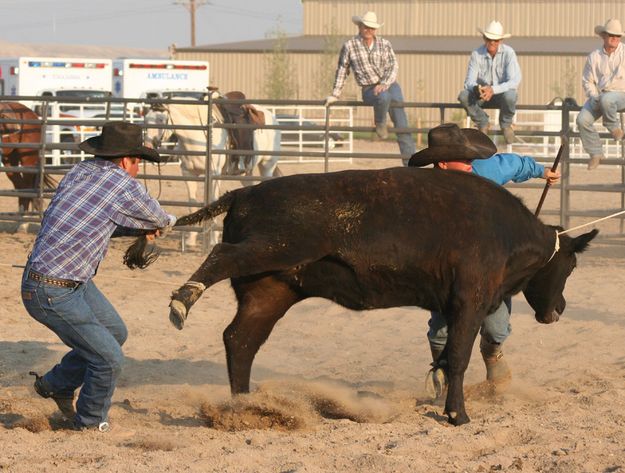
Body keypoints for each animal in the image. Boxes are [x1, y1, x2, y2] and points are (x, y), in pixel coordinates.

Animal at [144, 94, 280, 245]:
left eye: (161, 119)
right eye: (146, 118)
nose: (148, 144)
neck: (197, 137)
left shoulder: (214, 175)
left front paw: (213, 240)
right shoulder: (188, 174)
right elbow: (192, 203)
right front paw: (191, 240)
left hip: (267, 165)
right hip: (245, 173)